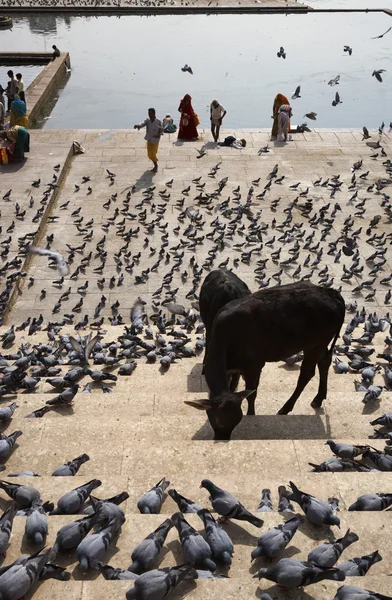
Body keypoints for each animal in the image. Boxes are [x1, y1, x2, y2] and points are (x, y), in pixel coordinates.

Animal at [186, 282, 344, 440]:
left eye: (236, 420)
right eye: (216, 419)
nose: (222, 439)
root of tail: (334, 294)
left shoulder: (254, 365)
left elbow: (252, 394)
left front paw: (251, 415)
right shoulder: (233, 368)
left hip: (316, 343)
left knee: (306, 373)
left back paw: (285, 408)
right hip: (319, 343)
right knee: (324, 362)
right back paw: (318, 399)